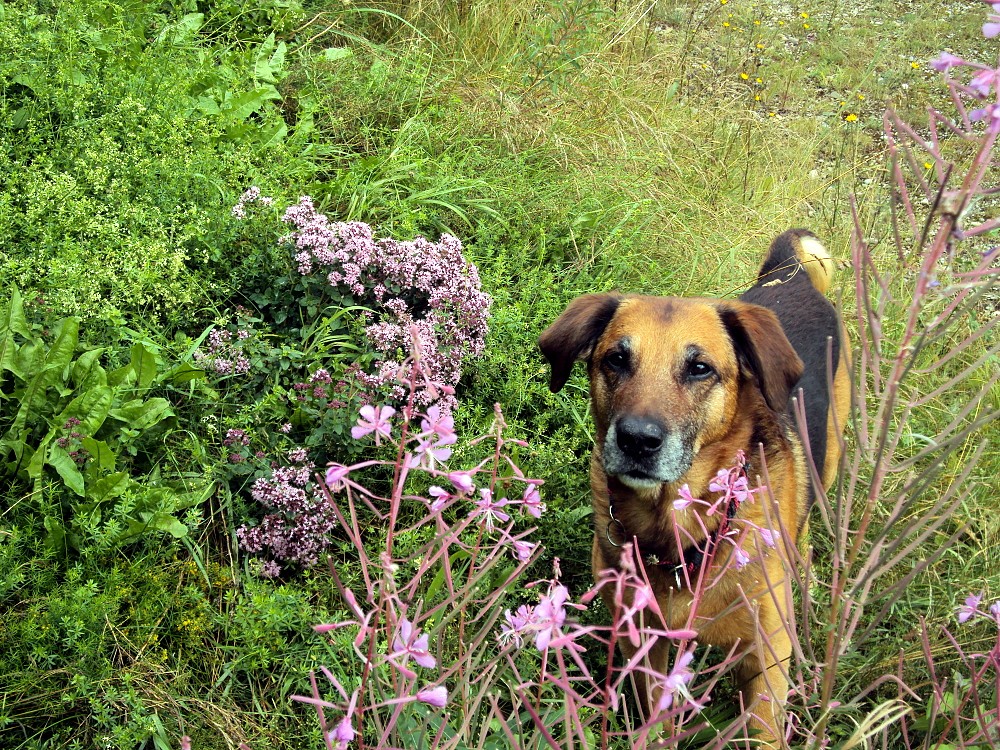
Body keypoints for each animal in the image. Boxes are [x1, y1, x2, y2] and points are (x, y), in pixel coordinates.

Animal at [540, 229, 852, 748]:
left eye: (700, 368)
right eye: (616, 359)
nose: (637, 440)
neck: (680, 534)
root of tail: (788, 273)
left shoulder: (766, 660)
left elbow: (763, 730)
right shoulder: (645, 643)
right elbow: (654, 720)